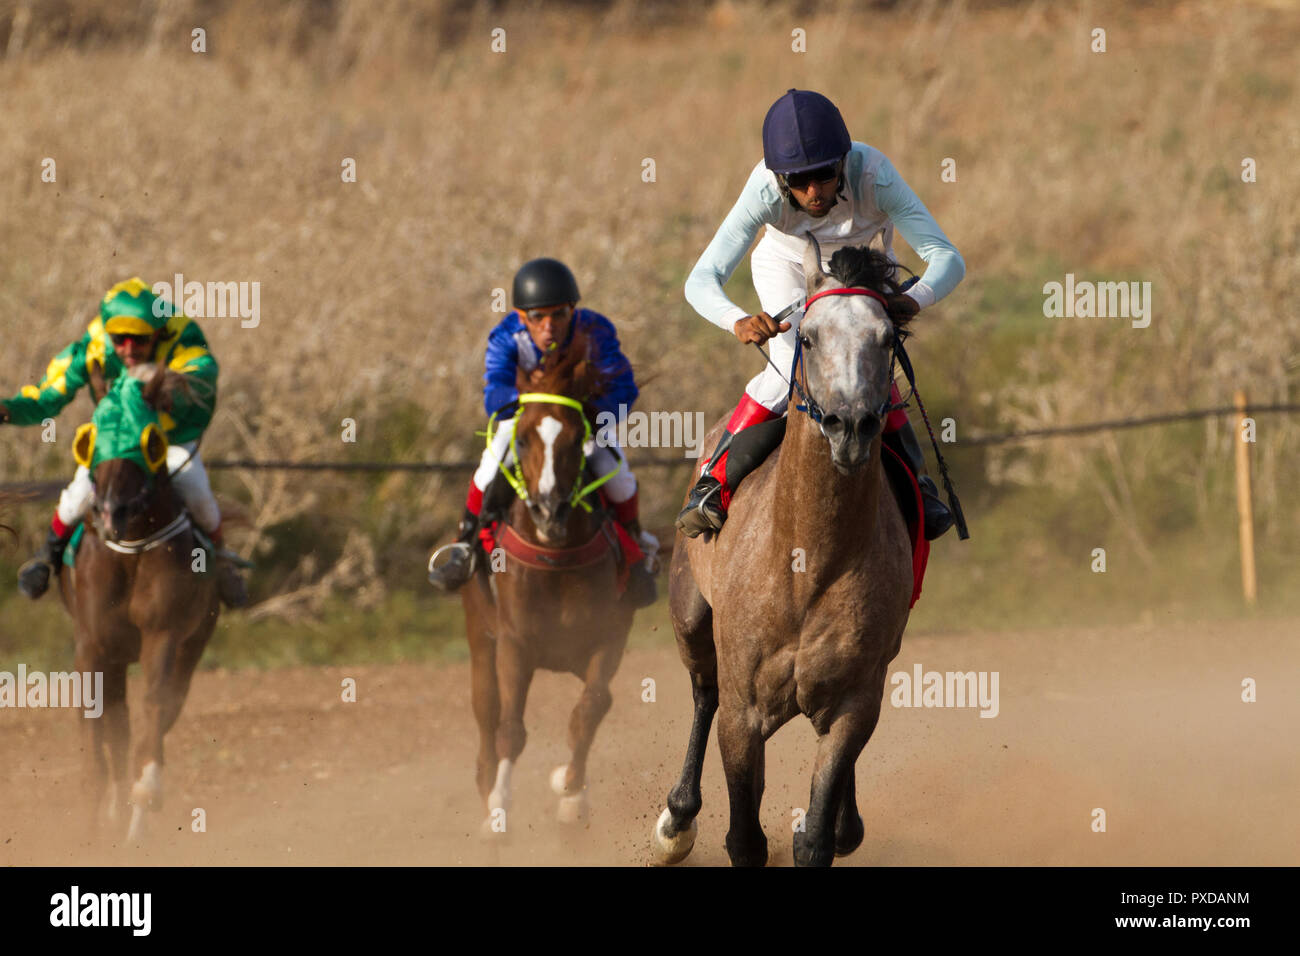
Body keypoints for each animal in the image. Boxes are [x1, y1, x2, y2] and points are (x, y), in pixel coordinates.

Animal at [57, 363, 220, 843]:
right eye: (90, 437)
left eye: (149, 440)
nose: (113, 511)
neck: (129, 548)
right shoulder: (92, 645)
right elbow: (99, 731)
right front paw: (91, 829)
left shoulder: (163, 634)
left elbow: (154, 709)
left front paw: (143, 801)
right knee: (117, 723)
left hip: (193, 643)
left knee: (162, 709)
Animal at [459, 334, 637, 835]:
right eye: (522, 438)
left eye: (579, 438)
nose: (548, 511)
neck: (555, 557)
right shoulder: (514, 643)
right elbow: (510, 728)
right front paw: (499, 805)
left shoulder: (607, 638)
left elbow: (591, 708)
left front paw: (570, 791)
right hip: (481, 639)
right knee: (486, 712)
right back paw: (485, 781)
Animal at [653, 235, 918, 867]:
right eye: (810, 335)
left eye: (886, 338)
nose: (851, 426)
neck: (807, 562)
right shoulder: (744, 710)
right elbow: (745, 838)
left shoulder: (855, 700)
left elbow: (818, 834)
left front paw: (827, 826)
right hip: (690, 615)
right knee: (703, 694)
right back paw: (677, 819)